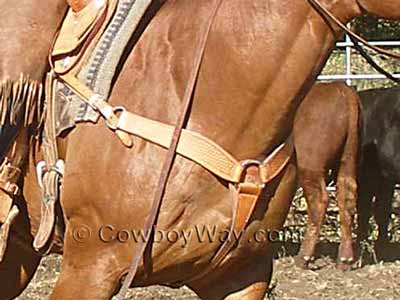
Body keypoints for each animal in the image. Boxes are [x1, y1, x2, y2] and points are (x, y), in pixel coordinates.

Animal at [292, 82, 360, 270]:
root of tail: (343, 89)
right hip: (348, 158)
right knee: (347, 197)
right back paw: (344, 260)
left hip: (310, 162)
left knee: (319, 200)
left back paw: (303, 258)